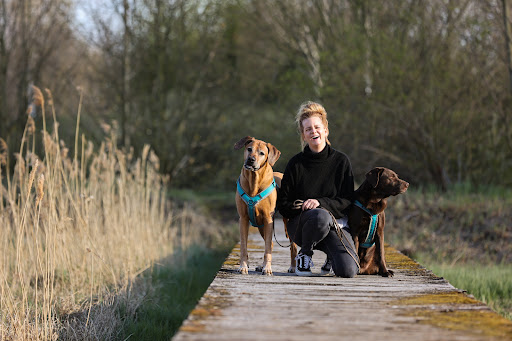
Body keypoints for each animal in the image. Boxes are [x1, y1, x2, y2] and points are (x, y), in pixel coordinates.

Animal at [235, 135, 280, 274]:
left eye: (262, 153)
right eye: (249, 149)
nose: (251, 159)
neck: (254, 180)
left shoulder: (268, 219)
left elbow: (267, 249)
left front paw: (267, 268)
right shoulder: (243, 219)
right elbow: (244, 246)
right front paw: (243, 266)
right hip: (261, 226)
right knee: (270, 243)